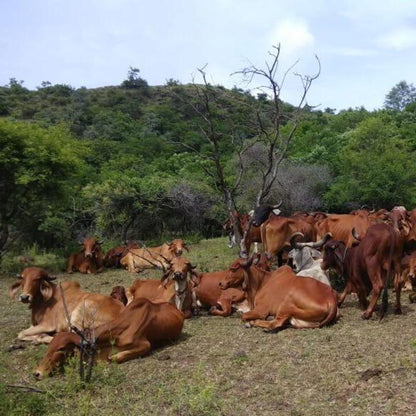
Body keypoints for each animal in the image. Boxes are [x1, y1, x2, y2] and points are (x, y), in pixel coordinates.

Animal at [35, 298, 184, 378]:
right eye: (49, 346)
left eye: (60, 349)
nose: (36, 373)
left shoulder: (145, 344)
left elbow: (116, 358)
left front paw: (113, 357)